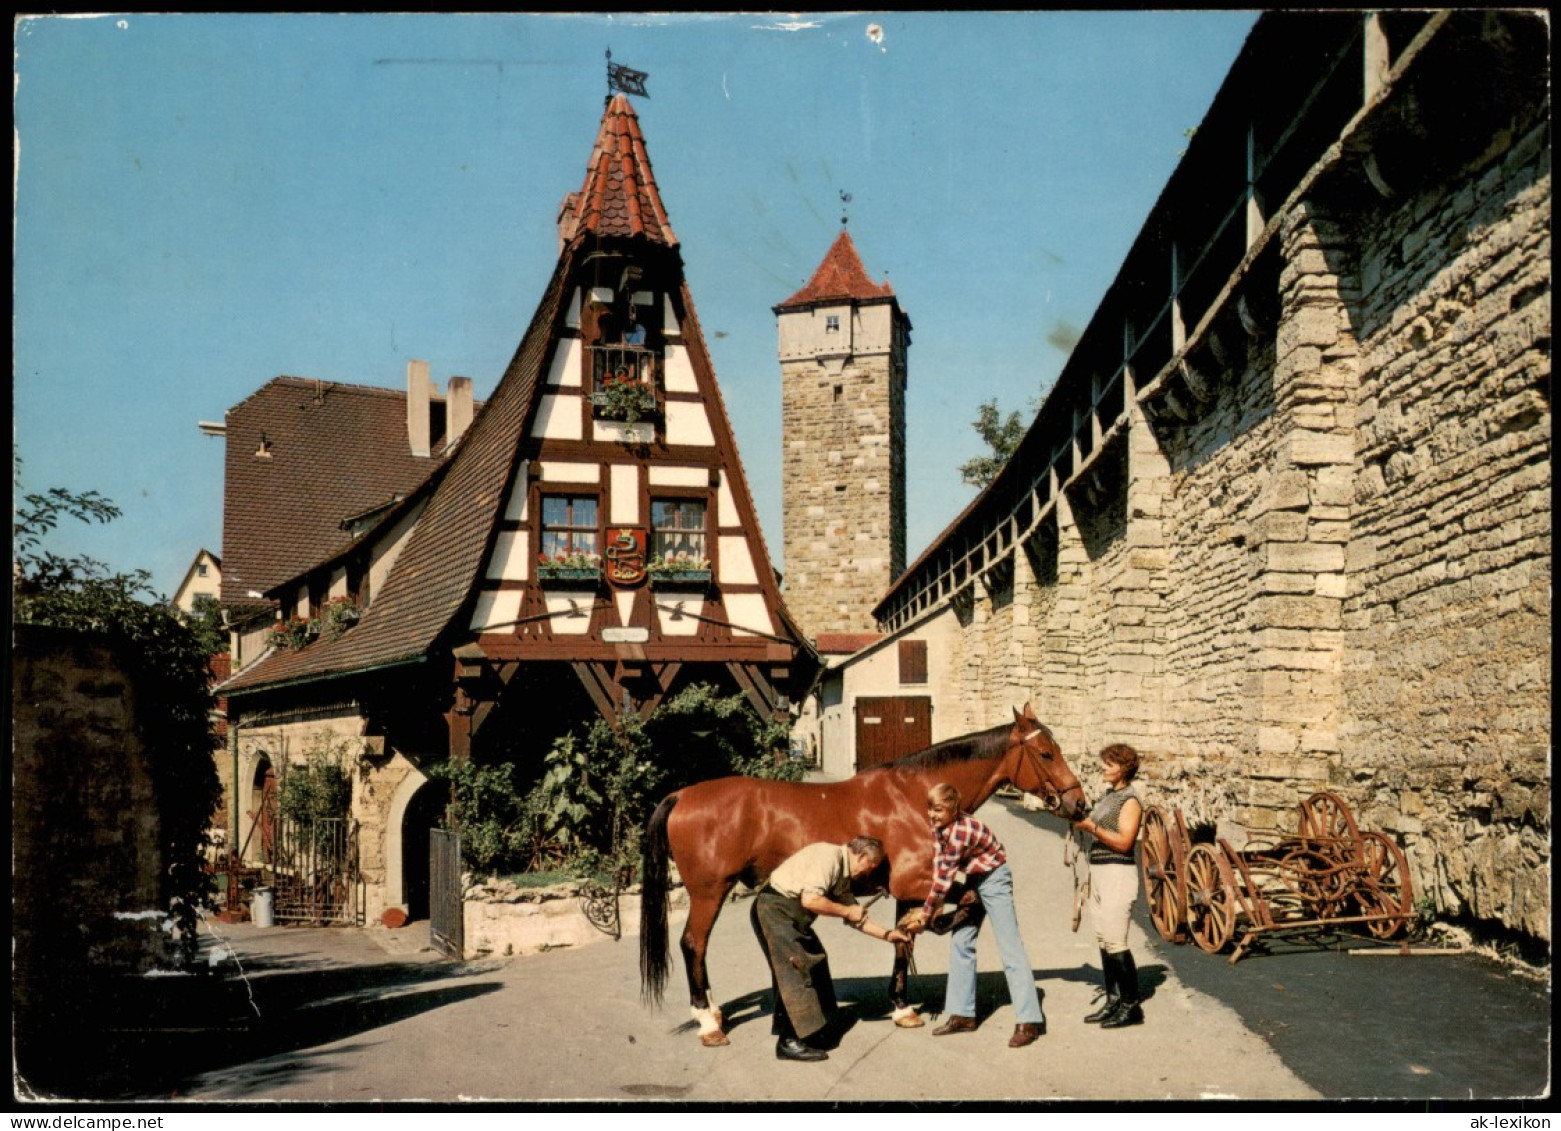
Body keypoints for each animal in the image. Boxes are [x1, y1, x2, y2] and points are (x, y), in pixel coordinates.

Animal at [636, 702, 1086, 1048]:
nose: (1078, 803)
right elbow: (961, 902)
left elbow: (903, 943)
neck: (914, 798)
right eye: (1046, 753)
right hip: (708, 893)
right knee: (693, 944)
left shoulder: (908, 893)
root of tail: (682, 795)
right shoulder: (914, 884)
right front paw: (940, 930)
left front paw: (902, 1008)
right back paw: (708, 1022)